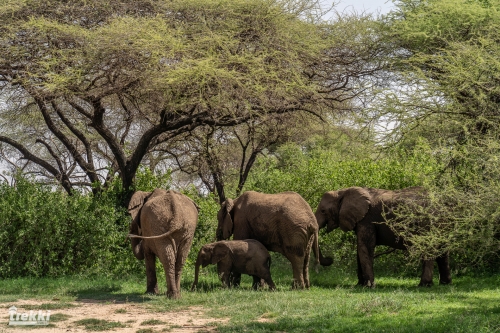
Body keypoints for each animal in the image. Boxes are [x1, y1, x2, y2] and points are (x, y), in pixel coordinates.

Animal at [316, 185, 454, 286]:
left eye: (323, 211)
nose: (330, 259)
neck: (342, 192)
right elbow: (360, 250)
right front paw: (360, 285)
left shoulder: (367, 219)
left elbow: (364, 247)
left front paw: (368, 286)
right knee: (443, 251)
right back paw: (445, 283)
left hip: (427, 223)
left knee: (428, 249)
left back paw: (424, 285)